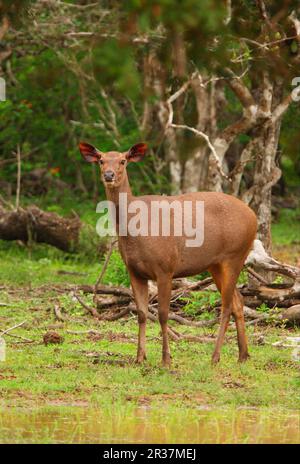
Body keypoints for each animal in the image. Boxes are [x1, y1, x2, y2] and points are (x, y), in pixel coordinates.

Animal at [79, 141, 258, 366]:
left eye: (123, 160)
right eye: (101, 160)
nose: (109, 175)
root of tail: (254, 216)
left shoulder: (165, 267)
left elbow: (163, 314)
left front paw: (166, 359)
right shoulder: (134, 271)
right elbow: (141, 312)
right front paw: (140, 357)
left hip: (235, 255)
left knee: (226, 305)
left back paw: (215, 356)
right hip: (215, 264)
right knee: (238, 301)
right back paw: (243, 355)